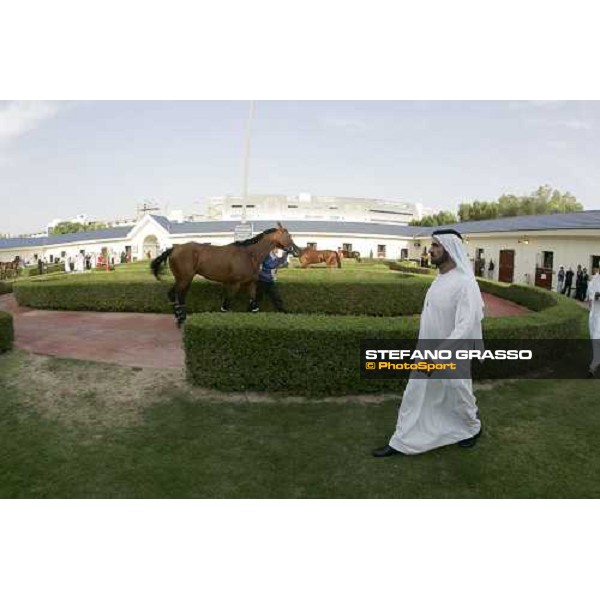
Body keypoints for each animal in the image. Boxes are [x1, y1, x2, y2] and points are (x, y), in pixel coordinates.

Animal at [151, 223, 298, 326]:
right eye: (289, 235)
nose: (296, 250)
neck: (249, 254)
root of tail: (174, 248)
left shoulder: (250, 283)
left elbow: (253, 304)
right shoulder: (235, 283)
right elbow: (226, 304)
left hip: (180, 278)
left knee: (172, 294)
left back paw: (178, 318)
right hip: (185, 279)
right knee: (180, 297)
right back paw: (182, 320)